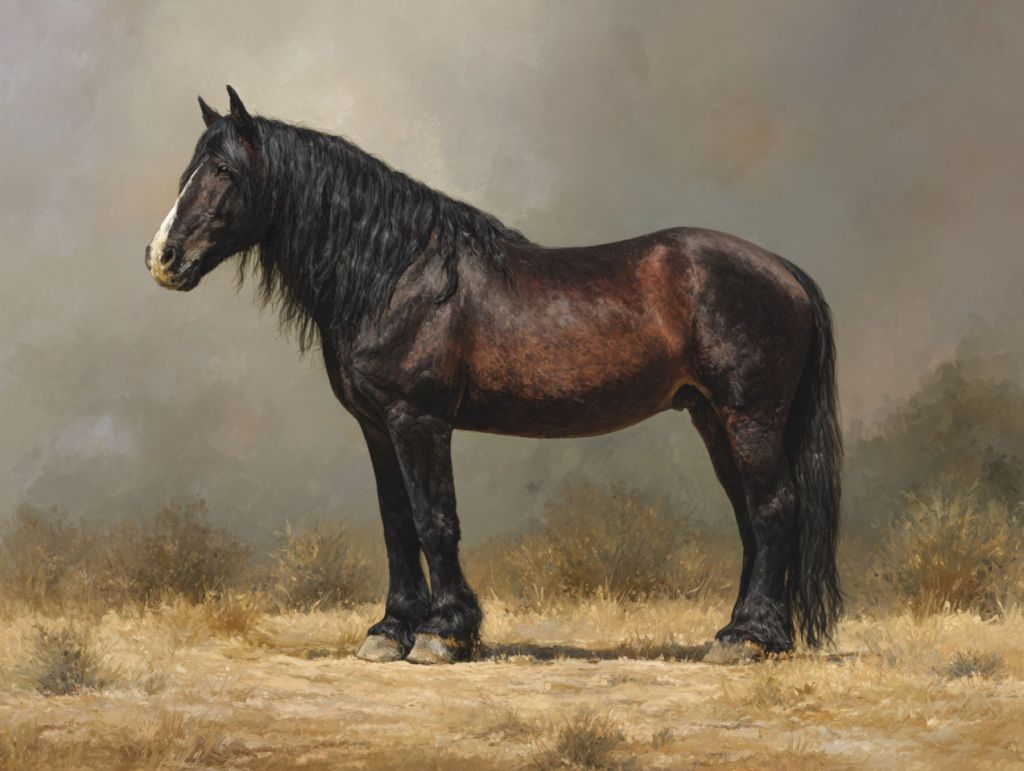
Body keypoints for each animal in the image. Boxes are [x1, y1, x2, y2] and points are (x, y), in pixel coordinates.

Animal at [145, 86, 842, 664]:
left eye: (225, 171)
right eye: (188, 172)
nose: (162, 258)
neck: (398, 272)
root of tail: (783, 270)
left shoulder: (419, 420)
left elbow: (435, 519)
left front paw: (443, 633)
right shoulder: (377, 426)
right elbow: (396, 523)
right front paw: (389, 631)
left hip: (749, 417)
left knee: (774, 509)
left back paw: (750, 639)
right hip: (711, 417)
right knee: (751, 517)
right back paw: (740, 632)